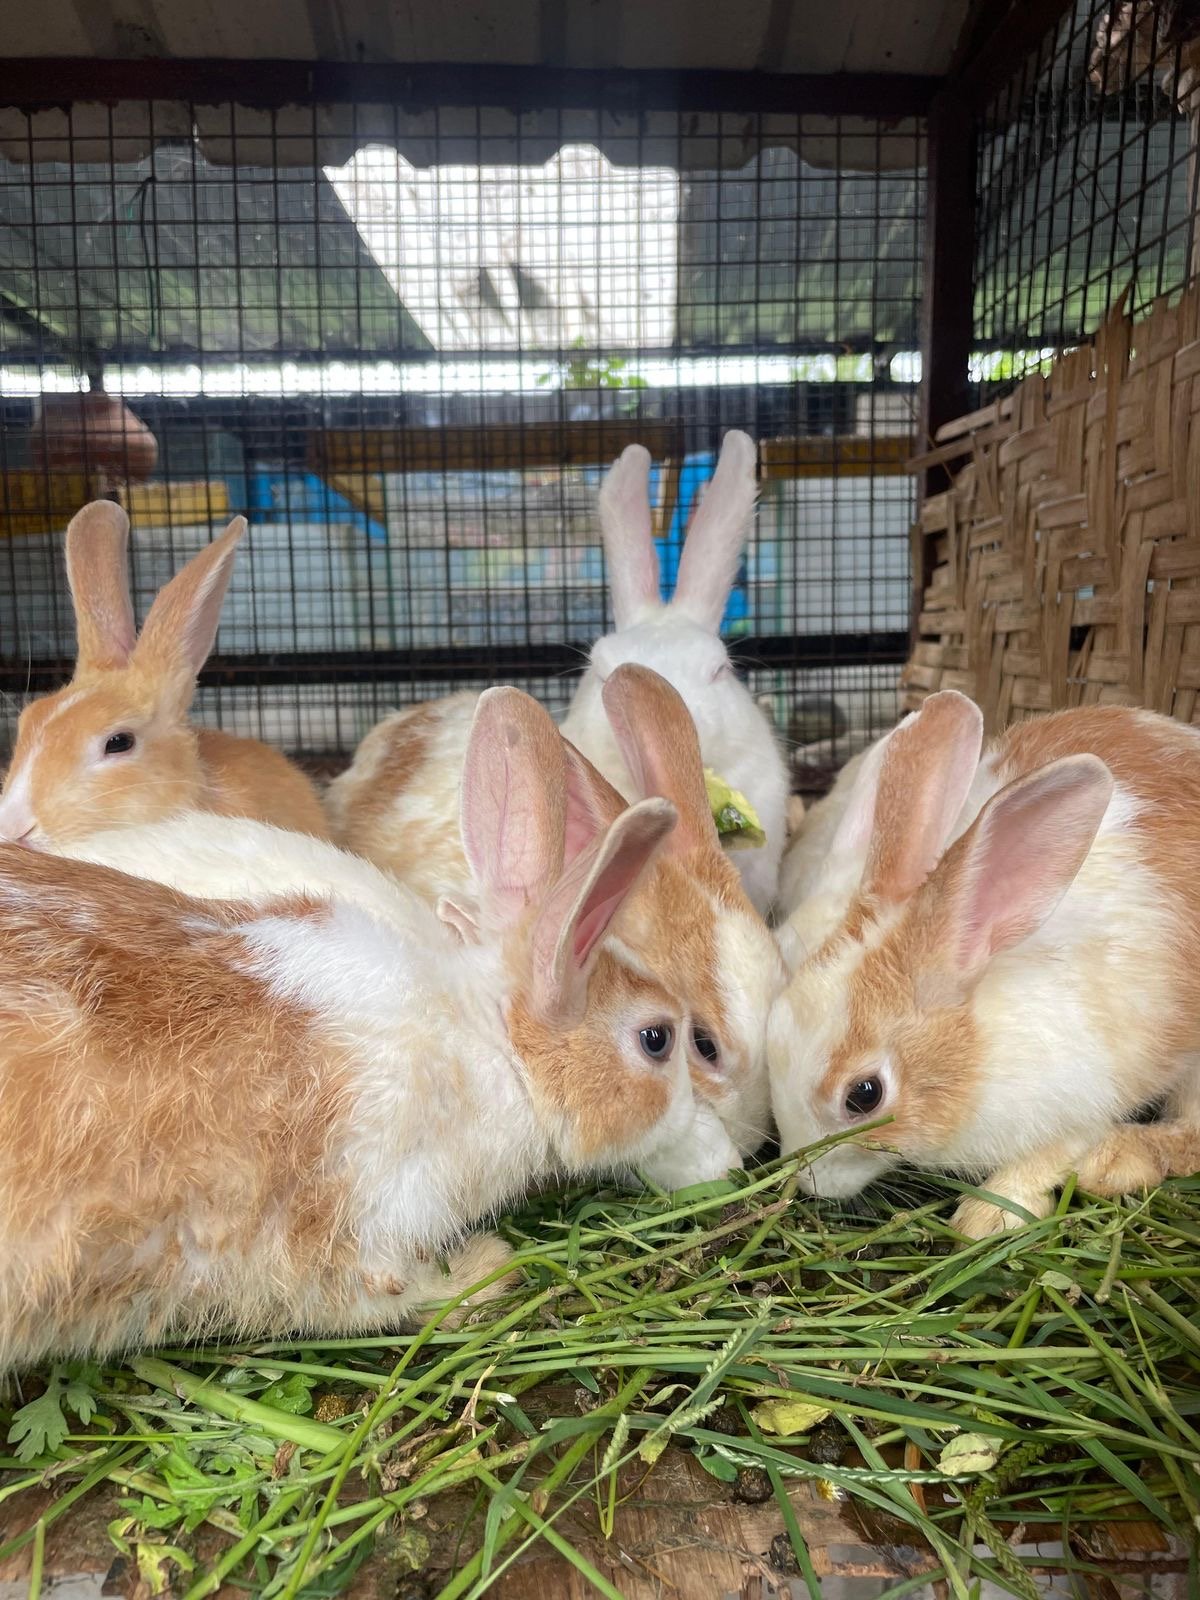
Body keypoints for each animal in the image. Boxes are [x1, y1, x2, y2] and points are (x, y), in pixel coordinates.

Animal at [768, 691, 1200, 1237]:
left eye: (864, 1095)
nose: (808, 1184)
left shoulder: (1088, 1096)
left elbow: (1053, 1152)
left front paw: (986, 1217)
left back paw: (1113, 1163)